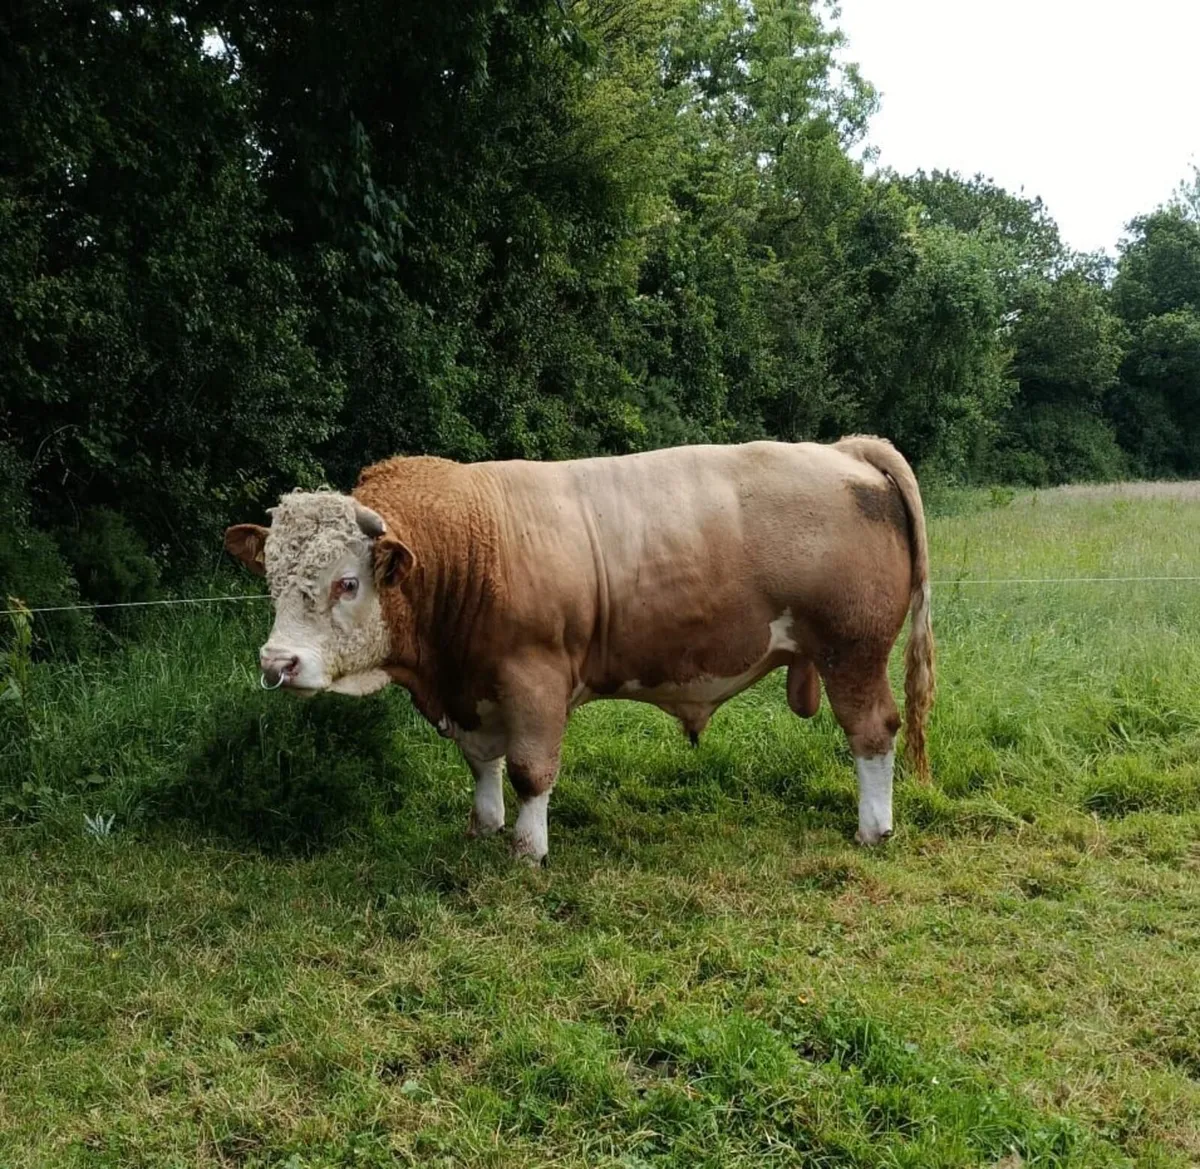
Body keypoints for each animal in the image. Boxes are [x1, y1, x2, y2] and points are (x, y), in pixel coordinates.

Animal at [224, 437, 934, 864]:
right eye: (271, 578)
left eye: (348, 582)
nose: (276, 664)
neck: (472, 545)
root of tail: (843, 451)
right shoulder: (472, 692)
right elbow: (481, 763)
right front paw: (484, 826)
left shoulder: (533, 679)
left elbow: (529, 769)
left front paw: (528, 849)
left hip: (854, 651)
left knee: (874, 731)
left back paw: (873, 827)